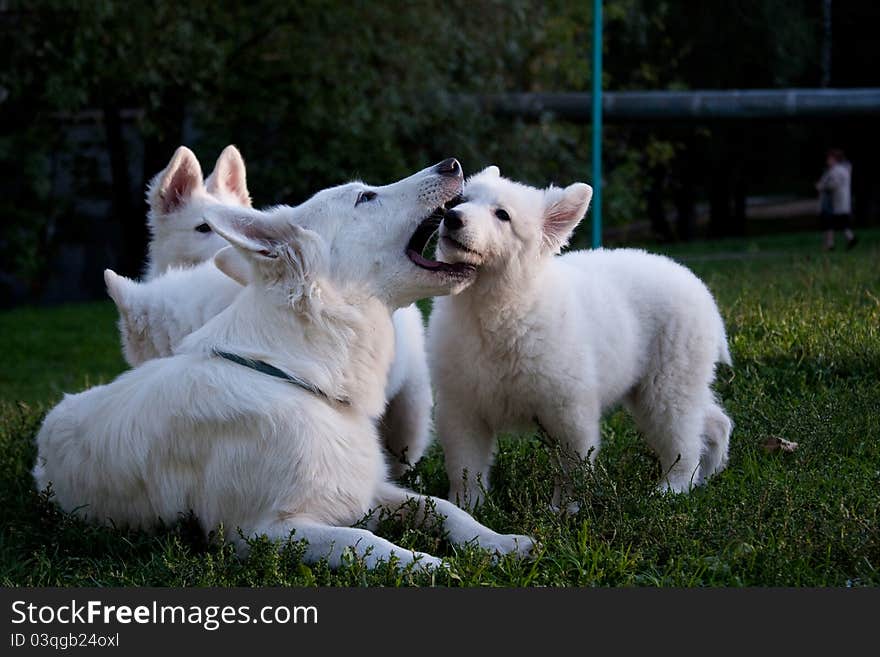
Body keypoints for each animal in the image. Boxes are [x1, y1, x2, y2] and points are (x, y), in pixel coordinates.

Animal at [430, 167, 732, 504]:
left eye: (502, 215)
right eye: (462, 201)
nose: (451, 217)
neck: (494, 308)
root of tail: (700, 288)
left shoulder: (567, 406)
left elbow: (571, 465)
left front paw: (565, 509)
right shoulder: (461, 406)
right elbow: (465, 466)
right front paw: (466, 506)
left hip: (668, 386)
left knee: (683, 440)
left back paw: (673, 488)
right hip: (659, 387)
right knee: (714, 422)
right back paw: (709, 474)